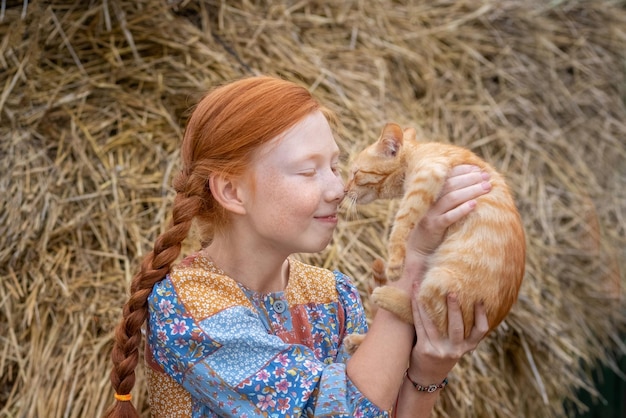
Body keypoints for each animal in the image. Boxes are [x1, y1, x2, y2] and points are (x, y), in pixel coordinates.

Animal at [344, 121, 524, 336]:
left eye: (355, 174)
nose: (344, 190)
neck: (415, 153)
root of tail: (492, 324)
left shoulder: (427, 175)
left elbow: (402, 220)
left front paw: (395, 263)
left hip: (440, 281)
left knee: (428, 317)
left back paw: (387, 295)